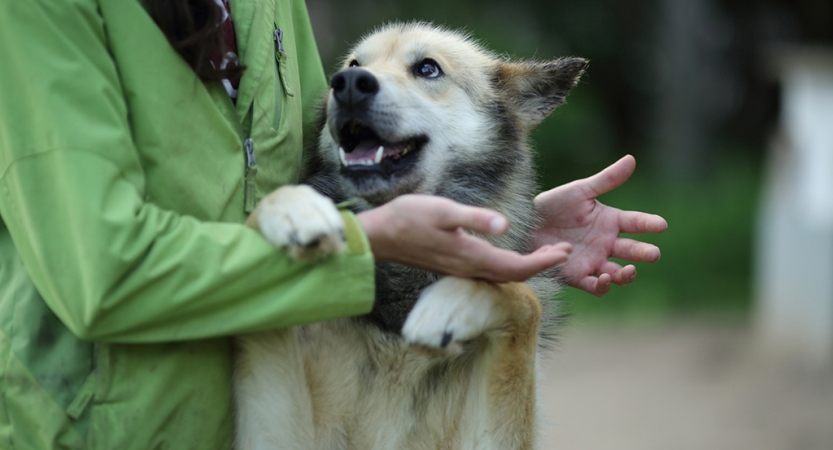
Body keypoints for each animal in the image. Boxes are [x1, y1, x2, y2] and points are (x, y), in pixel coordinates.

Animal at [232, 22, 584, 450]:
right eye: (353, 65)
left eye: (428, 68)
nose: (348, 84)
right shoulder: (275, 428)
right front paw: (296, 209)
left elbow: (522, 297)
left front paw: (447, 307)